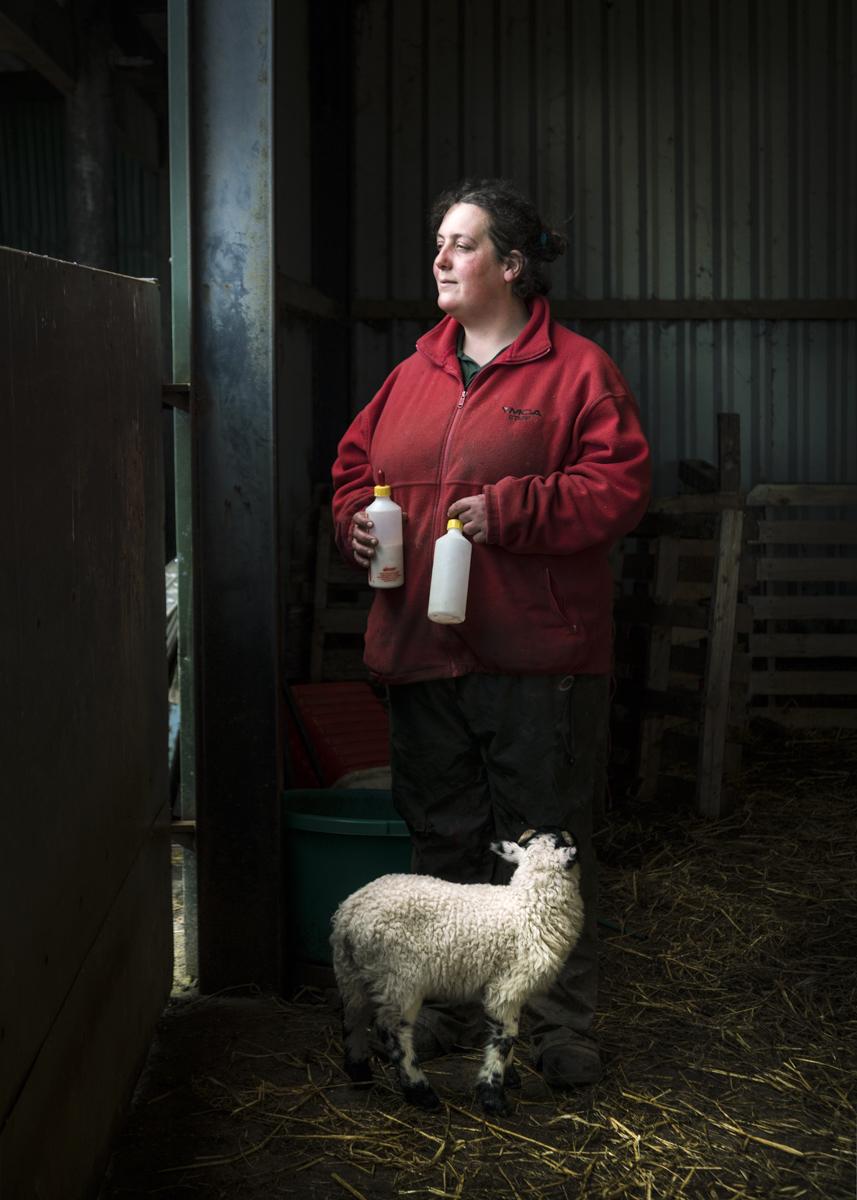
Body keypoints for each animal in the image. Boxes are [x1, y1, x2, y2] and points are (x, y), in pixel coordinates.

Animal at [326, 825, 580, 1113]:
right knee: (392, 1032)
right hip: (400, 977)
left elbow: (512, 1031)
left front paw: (510, 1076)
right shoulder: (507, 985)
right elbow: (506, 1036)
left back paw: (360, 1075)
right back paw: (420, 1092)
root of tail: (348, 916)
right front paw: (493, 1094)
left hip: (351, 973)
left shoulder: (512, 989)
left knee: (353, 1018)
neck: (531, 903)